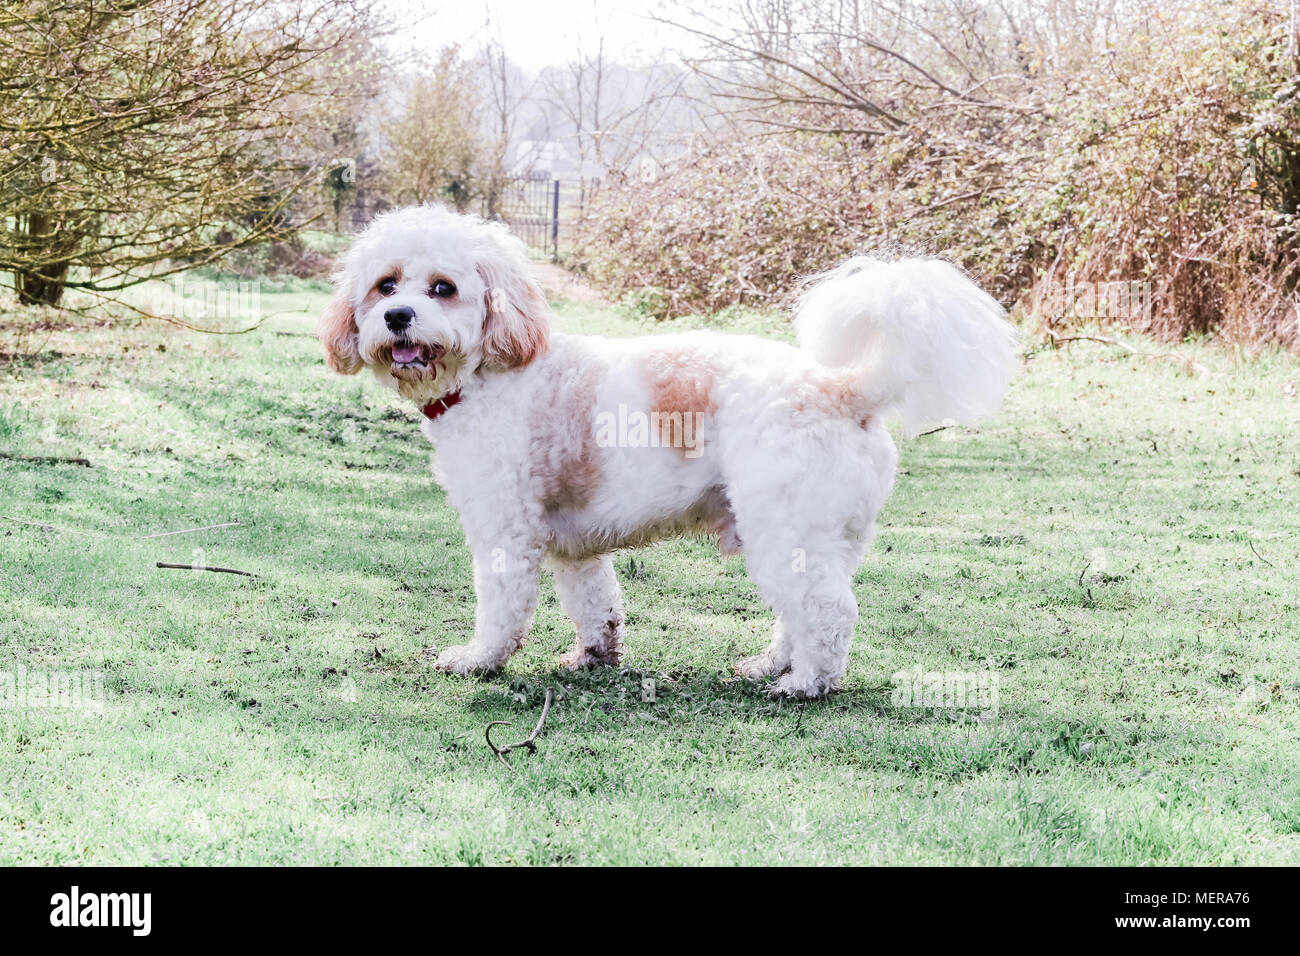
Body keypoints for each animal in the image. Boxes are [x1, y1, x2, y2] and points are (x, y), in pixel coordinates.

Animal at [314, 205, 1013, 697]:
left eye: (442, 288)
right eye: (384, 285)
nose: (397, 317)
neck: (492, 371)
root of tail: (842, 389)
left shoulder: (505, 532)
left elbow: (503, 609)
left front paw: (478, 660)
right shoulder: (573, 546)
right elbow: (596, 605)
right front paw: (594, 657)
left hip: (787, 529)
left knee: (829, 612)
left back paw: (805, 684)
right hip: (809, 539)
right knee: (801, 613)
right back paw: (771, 665)